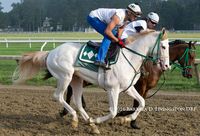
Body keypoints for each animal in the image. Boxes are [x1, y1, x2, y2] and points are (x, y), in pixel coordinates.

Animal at [13, 28, 170, 134]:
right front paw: (100, 120)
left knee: (77, 102)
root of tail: (51, 52)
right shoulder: (113, 89)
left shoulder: (128, 87)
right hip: (65, 76)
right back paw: (76, 119)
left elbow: (142, 102)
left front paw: (125, 119)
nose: (167, 66)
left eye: (168, 46)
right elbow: (113, 111)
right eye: (163, 46)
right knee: (58, 96)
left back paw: (91, 125)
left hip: (76, 80)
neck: (129, 57)